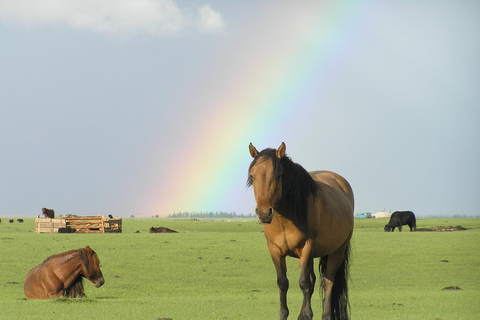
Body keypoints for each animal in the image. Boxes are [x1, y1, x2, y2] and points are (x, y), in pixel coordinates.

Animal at [249, 143, 354, 320]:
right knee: (313, 279)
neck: (284, 220)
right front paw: (285, 314)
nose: (263, 213)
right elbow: (283, 282)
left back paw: (326, 315)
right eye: (252, 175)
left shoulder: (307, 247)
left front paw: (307, 314)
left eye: (278, 175)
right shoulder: (275, 251)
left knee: (328, 280)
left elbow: (304, 282)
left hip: (337, 251)